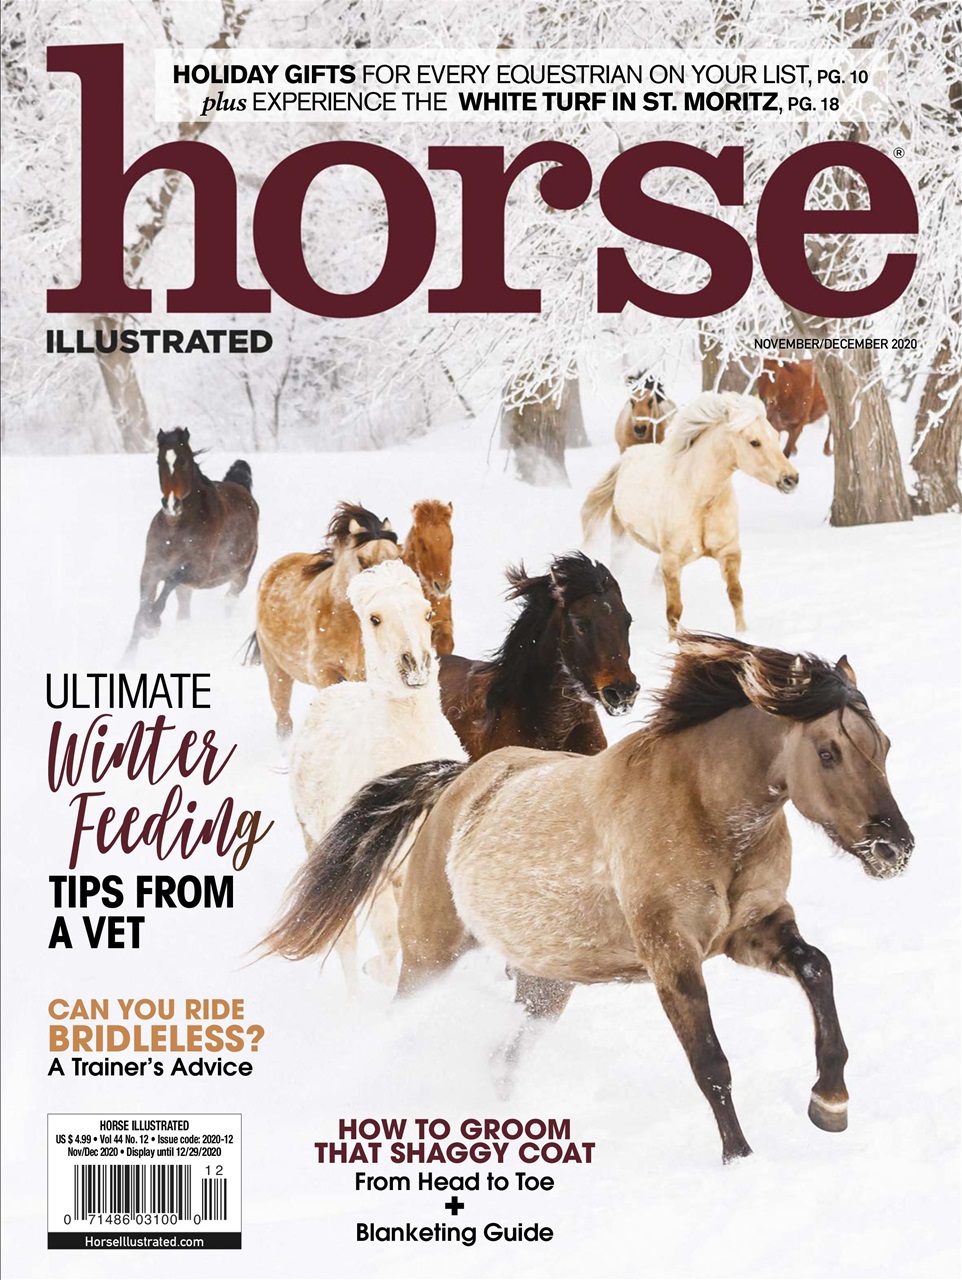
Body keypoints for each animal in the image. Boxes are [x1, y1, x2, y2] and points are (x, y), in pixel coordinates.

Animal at [126, 428, 258, 656]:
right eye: (159, 461)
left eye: (184, 461)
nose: (171, 504)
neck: (176, 527)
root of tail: (242, 489)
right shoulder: (150, 569)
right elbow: (140, 612)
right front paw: (126, 659)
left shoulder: (199, 572)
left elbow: (170, 579)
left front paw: (152, 624)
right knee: (184, 613)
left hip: (240, 575)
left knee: (229, 600)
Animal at [262, 633, 914, 1165]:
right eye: (828, 752)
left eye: (884, 745)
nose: (896, 847)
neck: (706, 811)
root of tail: (455, 784)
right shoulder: (670, 954)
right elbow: (710, 1064)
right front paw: (740, 1159)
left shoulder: (753, 931)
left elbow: (817, 969)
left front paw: (830, 1102)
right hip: (431, 955)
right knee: (403, 1022)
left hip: (546, 984)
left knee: (504, 1059)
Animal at [289, 559, 466, 992]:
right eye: (374, 618)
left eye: (427, 613)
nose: (415, 666)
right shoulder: (375, 874)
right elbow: (389, 948)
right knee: (346, 943)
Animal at [582, 392, 798, 636]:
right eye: (755, 442)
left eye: (775, 436)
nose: (791, 479)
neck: (700, 499)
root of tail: (627, 457)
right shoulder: (672, 560)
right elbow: (674, 610)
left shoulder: (729, 552)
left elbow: (736, 594)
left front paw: (742, 633)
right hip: (623, 536)